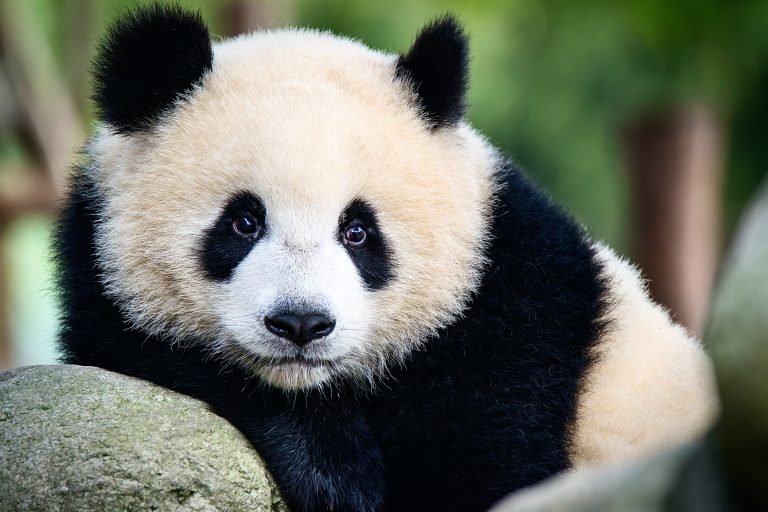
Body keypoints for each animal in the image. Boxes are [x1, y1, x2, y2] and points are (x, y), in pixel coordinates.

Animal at [55, 5, 718, 512]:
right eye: (243, 222)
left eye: (358, 232)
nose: (301, 324)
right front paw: (332, 466)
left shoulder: (514, 325)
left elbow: (472, 476)